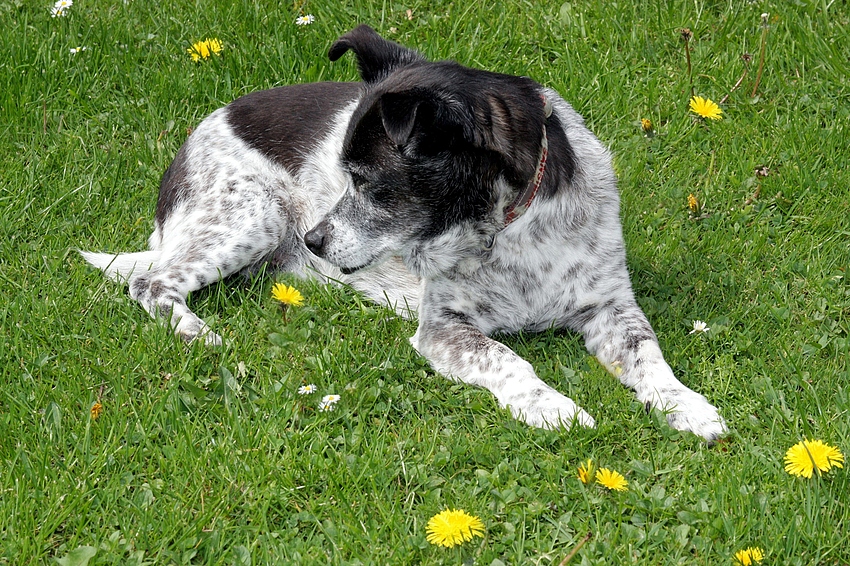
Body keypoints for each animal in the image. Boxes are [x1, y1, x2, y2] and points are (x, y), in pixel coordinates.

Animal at [83, 25, 724, 444]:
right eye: (343, 174)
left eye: (368, 182)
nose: (314, 241)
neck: (509, 229)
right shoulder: (444, 328)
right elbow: (508, 360)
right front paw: (553, 407)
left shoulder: (612, 308)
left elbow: (652, 362)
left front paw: (689, 408)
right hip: (252, 213)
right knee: (148, 281)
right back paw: (198, 333)